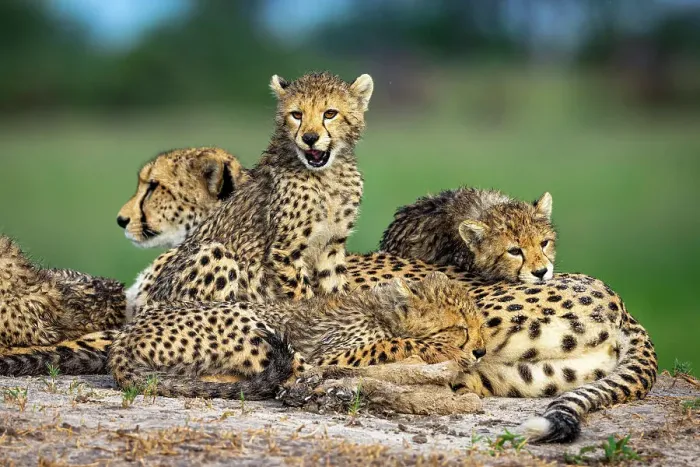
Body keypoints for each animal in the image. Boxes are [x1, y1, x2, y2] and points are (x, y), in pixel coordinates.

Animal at [109, 272, 487, 399]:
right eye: (461, 329)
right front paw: (445, 353)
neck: (380, 310)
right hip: (246, 320)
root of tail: (123, 338)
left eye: (482, 326)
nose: (481, 352)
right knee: (296, 374)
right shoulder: (333, 351)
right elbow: (396, 343)